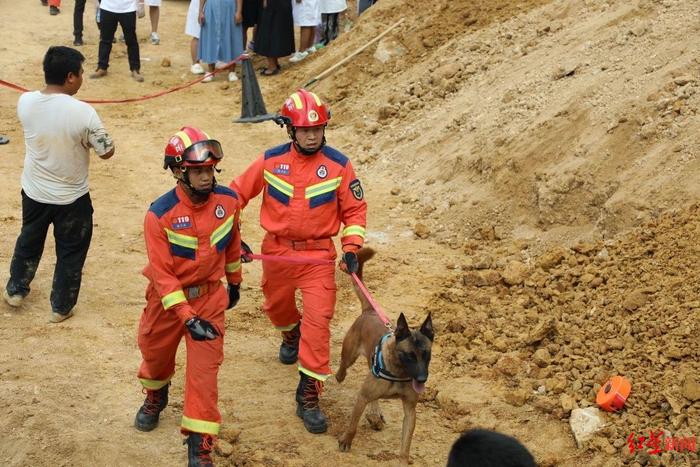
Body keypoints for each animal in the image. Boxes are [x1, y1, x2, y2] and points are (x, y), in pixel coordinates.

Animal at [336, 249, 434, 464]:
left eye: (427, 354)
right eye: (409, 355)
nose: (422, 379)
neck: (399, 373)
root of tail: (370, 310)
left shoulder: (410, 410)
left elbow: (405, 444)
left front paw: (403, 461)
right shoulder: (362, 397)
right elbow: (353, 425)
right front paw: (346, 440)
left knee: (374, 398)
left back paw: (375, 414)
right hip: (350, 355)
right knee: (343, 367)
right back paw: (340, 376)